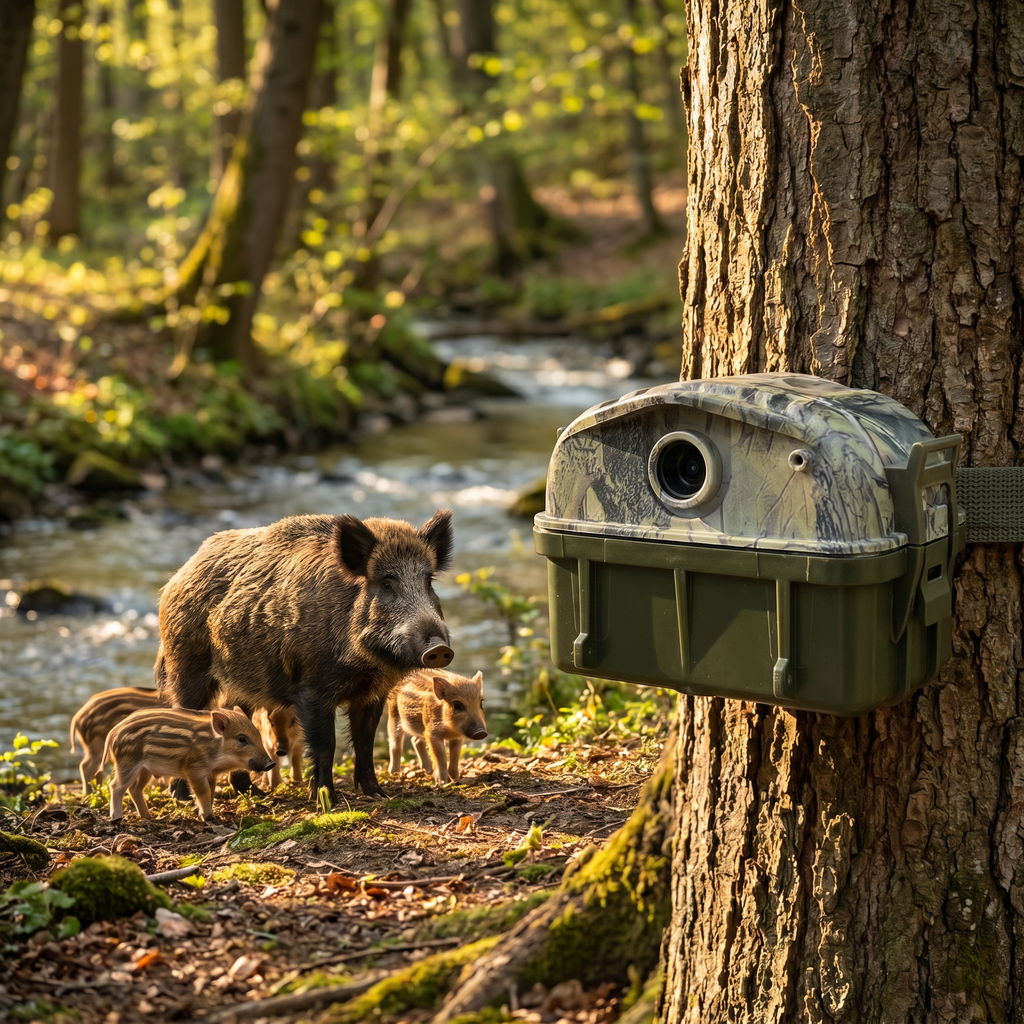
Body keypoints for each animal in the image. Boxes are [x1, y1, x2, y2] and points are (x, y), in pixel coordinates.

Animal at [104, 706, 275, 822]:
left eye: (258, 734)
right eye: (241, 739)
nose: (271, 763)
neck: (214, 748)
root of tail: (112, 733)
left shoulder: (211, 773)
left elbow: (211, 792)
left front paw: (209, 814)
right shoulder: (194, 769)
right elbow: (203, 791)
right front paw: (208, 817)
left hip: (145, 769)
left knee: (135, 789)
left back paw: (149, 817)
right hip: (127, 763)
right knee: (116, 786)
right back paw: (117, 818)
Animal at [155, 510, 455, 803]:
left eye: (428, 581)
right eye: (387, 583)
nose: (439, 649)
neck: (364, 665)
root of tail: (177, 577)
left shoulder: (372, 694)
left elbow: (364, 741)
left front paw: (378, 795)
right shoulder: (312, 688)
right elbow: (326, 744)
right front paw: (326, 800)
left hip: (242, 685)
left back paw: (257, 795)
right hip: (186, 665)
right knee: (182, 716)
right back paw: (182, 798)